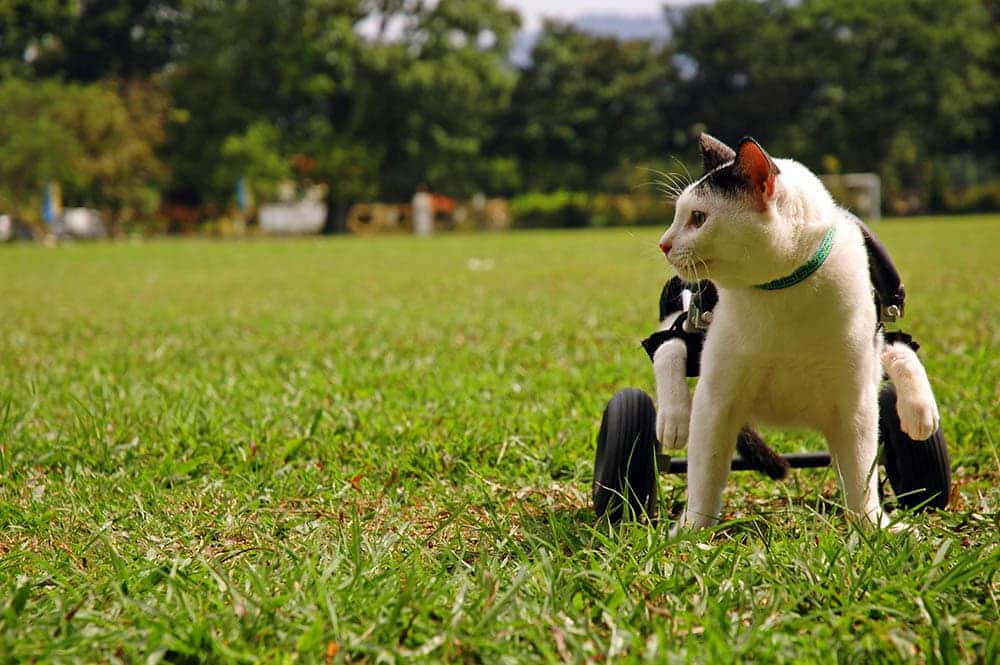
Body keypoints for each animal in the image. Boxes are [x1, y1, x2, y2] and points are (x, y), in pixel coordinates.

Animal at [652, 134, 940, 528]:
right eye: (678, 214)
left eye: (698, 217)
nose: (663, 244)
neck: (780, 293)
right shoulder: (716, 398)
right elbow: (704, 473)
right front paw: (691, 530)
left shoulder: (855, 401)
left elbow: (861, 474)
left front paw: (872, 527)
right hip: (686, 314)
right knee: (668, 344)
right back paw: (674, 417)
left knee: (897, 347)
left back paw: (919, 411)